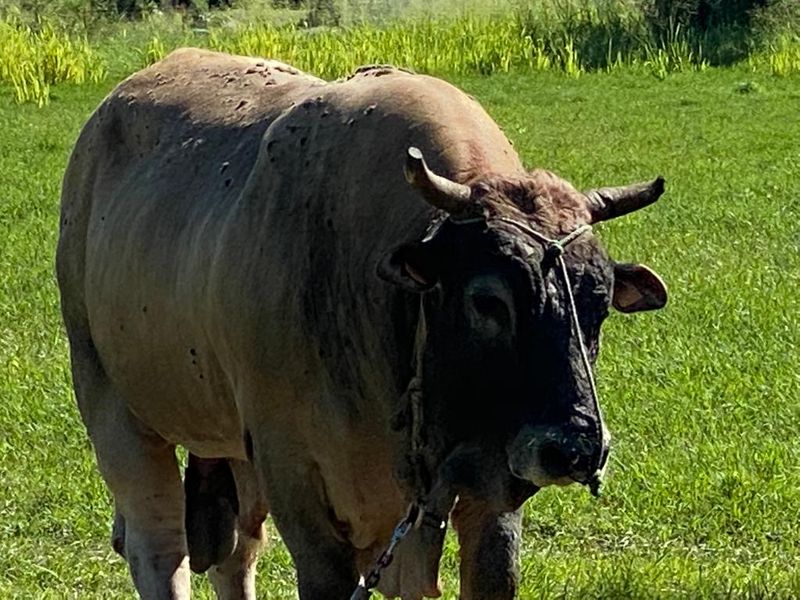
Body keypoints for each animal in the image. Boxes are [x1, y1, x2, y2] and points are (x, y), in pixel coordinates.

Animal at [57, 48, 668, 600]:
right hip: (114, 407)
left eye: (597, 301)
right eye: (488, 301)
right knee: (160, 547)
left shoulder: (484, 494)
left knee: (235, 553)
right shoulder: (296, 479)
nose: (575, 447)